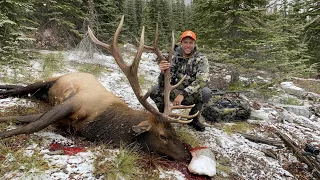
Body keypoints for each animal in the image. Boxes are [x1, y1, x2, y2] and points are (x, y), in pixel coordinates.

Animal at [0, 15, 198, 162]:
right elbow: (32, 125)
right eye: (163, 136)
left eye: (174, 132)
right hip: (51, 80)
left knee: (19, 88)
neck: (97, 123)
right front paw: (4, 133)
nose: (187, 155)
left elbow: (26, 119)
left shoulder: (64, 118)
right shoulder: (71, 103)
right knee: (20, 89)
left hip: (44, 93)